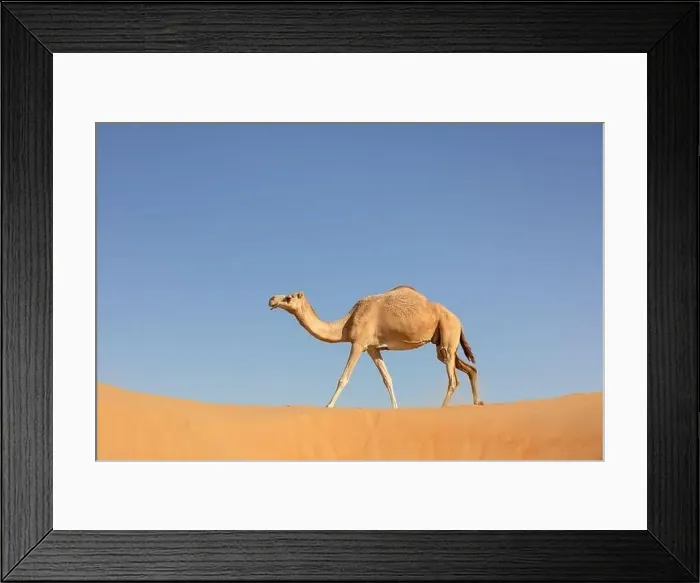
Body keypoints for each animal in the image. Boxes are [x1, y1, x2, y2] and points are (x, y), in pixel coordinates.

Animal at [268, 285, 482, 409]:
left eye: (288, 297)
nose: (271, 299)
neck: (346, 323)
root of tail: (459, 321)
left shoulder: (358, 343)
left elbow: (343, 378)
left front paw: (328, 406)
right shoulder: (373, 348)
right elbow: (388, 379)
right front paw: (395, 408)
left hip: (448, 334)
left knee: (453, 380)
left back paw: (442, 409)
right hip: (443, 343)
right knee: (470, 369)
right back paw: (477, 403)